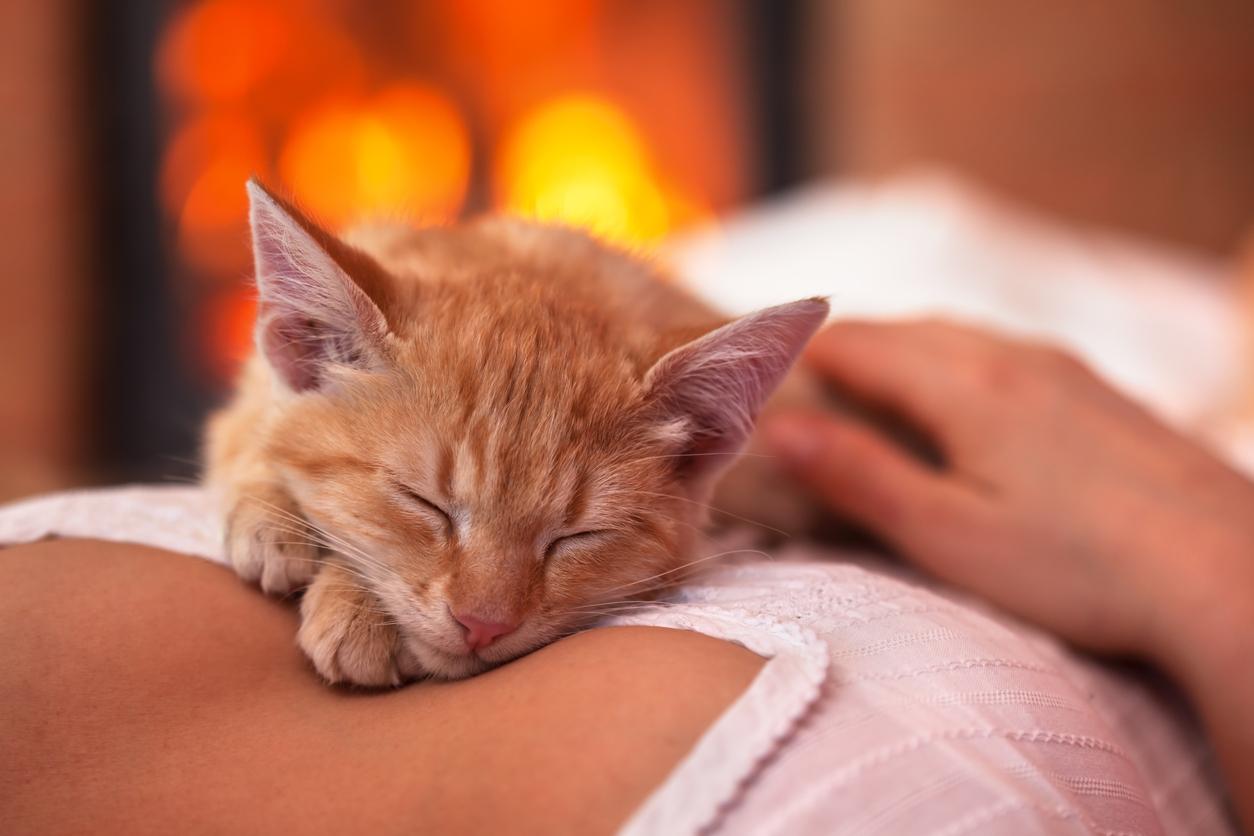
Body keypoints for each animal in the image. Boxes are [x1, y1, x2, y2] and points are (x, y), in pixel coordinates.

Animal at [205, 181, 827, 686]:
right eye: (422, 502)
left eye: (577, 536)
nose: (482, 624)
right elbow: (246, 431)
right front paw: (271, 519)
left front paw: (353, 602)